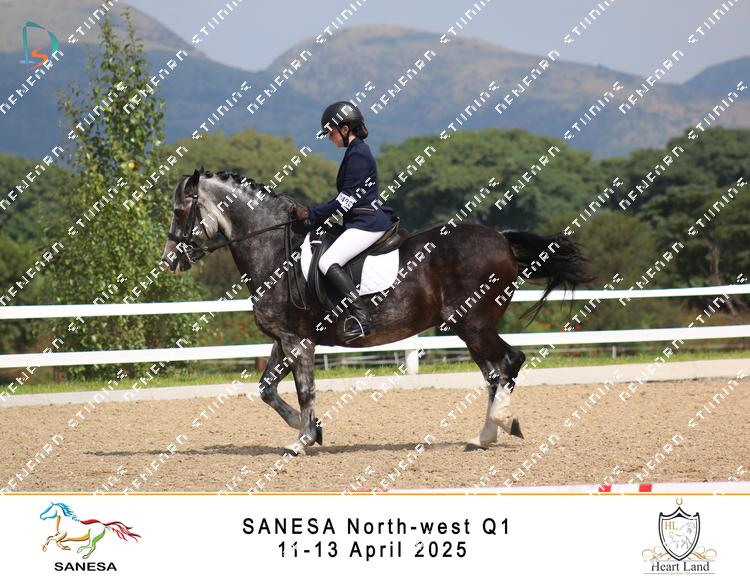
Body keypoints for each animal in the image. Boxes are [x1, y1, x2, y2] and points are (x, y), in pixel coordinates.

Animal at [160, 169, 593, 455]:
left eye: (180, 211)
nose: (168, 262)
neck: (273, 253)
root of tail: (501, 239)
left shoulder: (297, 340)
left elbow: (305, 390)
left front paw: (302, 440)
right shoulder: (284, 339)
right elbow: (267, 388)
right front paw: (311, 429)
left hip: (472, 325)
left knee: (507, 362)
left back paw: (498, 427)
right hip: (471, 327)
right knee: (495, 371)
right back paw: (485, 434)